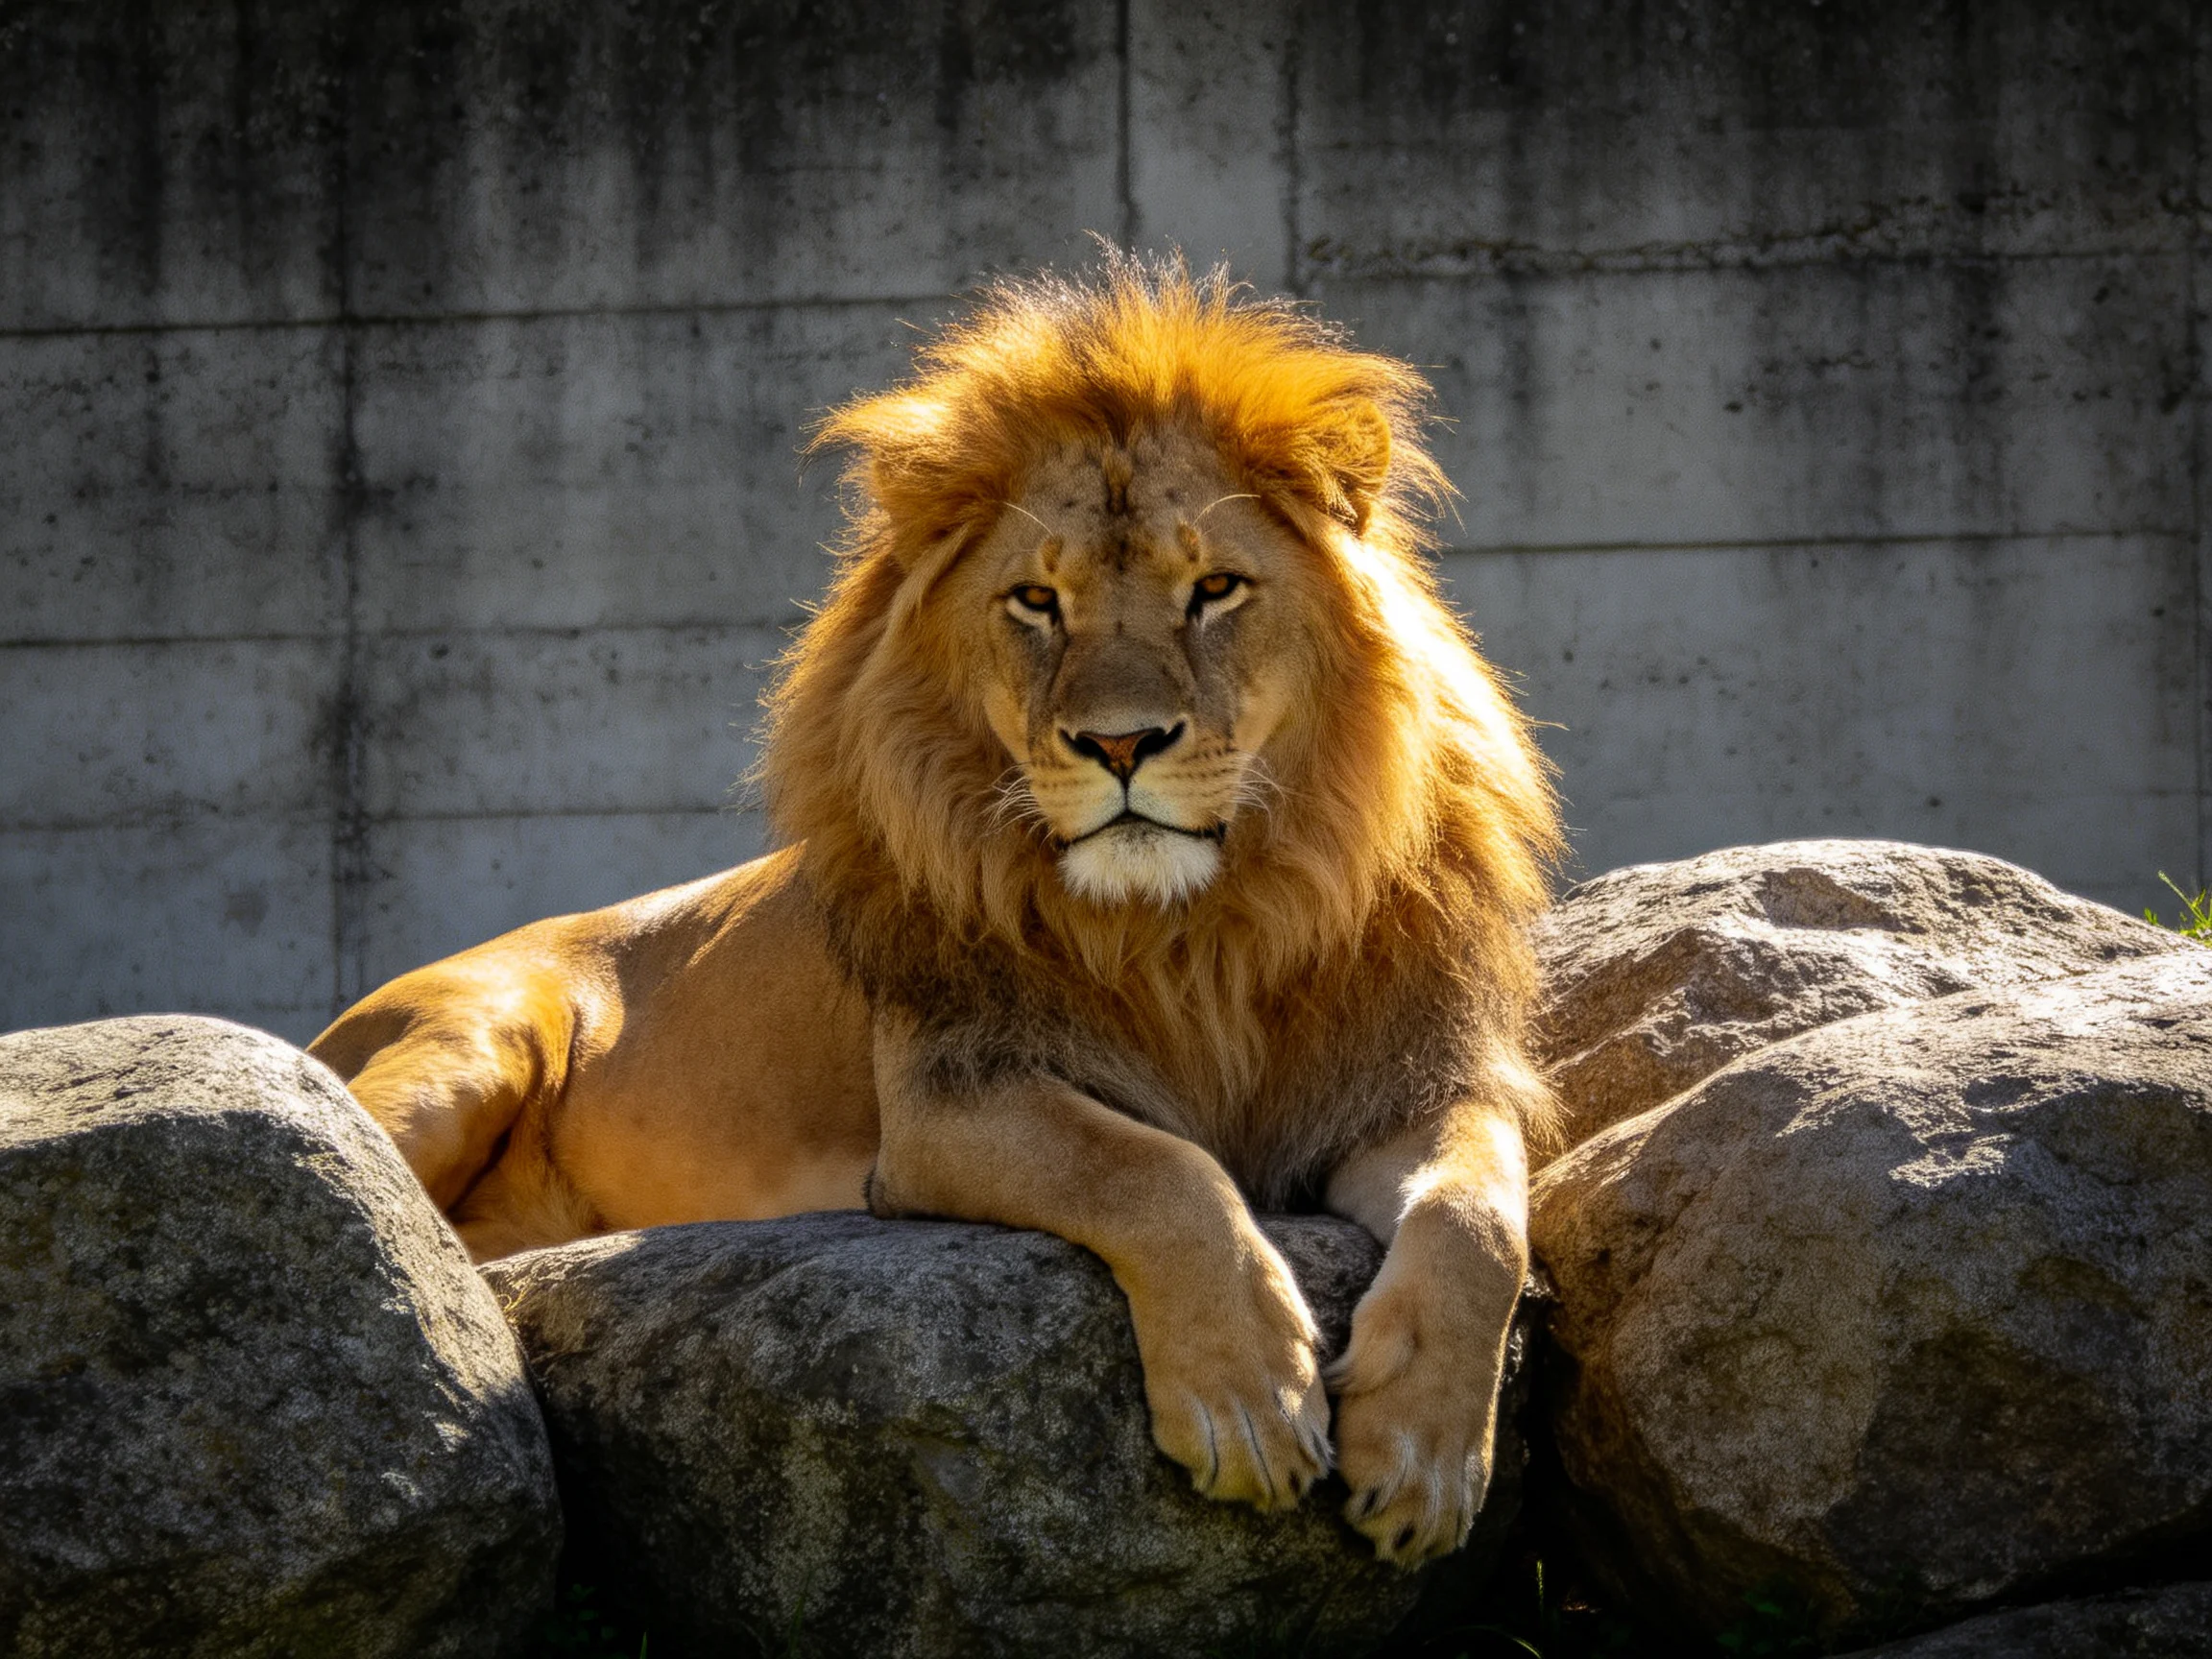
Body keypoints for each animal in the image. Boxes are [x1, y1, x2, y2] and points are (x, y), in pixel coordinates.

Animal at [309, 255, 1562, 1566]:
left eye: (1214, 589)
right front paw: (1249, 1403)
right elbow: (1150, 1169)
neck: (1195, 933)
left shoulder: (1408, 1078)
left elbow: (1480, 1216)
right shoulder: (947, 1104)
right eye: (1037, 602)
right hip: (475, 1034)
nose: (1121, 743)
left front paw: (1425, 1458)